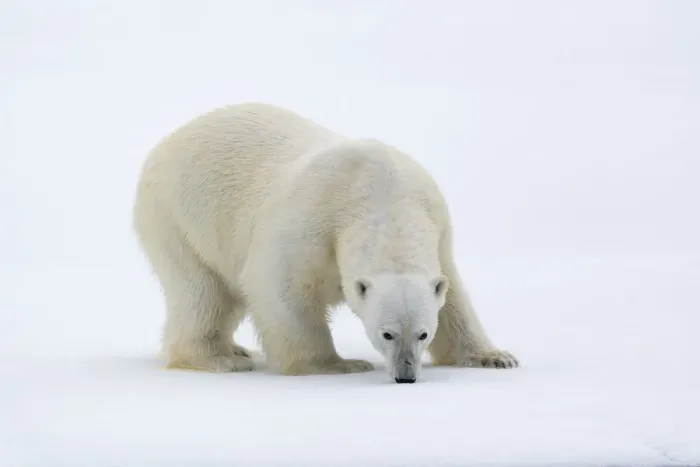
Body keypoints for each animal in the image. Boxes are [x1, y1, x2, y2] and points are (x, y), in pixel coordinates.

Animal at [132, 102, 519, 383]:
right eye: (387, 334)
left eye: (423, 334)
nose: (406, 375)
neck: (382, 193)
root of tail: (167, 141)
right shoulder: (312, 220)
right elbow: (278, 286)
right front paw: (338, 364)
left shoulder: (436, 224)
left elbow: (453, 300)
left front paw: (495, 357)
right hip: (179, 218)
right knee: (203, 292)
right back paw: (219, 358)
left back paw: (235, 350)